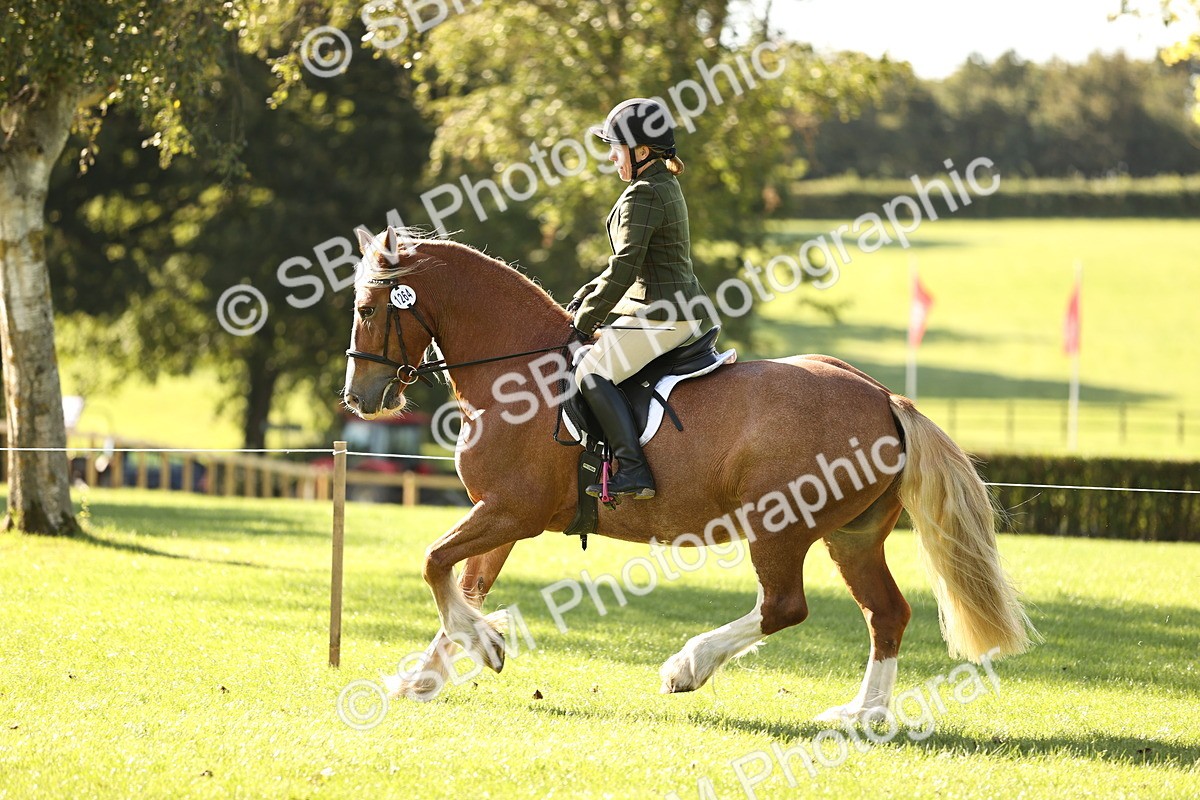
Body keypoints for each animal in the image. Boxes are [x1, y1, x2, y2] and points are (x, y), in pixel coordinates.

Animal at [342, 226, 1037, 720]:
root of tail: (885, 398)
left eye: (370, 308)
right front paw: (428, 674)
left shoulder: (512, 510)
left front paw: (483, 645)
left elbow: (434, 563)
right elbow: (465, 585)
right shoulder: (502, 514)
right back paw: (861, 715)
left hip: (779, 526)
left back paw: (688, 666)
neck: (519, 375)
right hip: (854, 537)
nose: (359, 397)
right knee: (886, 613)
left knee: (784, 606)